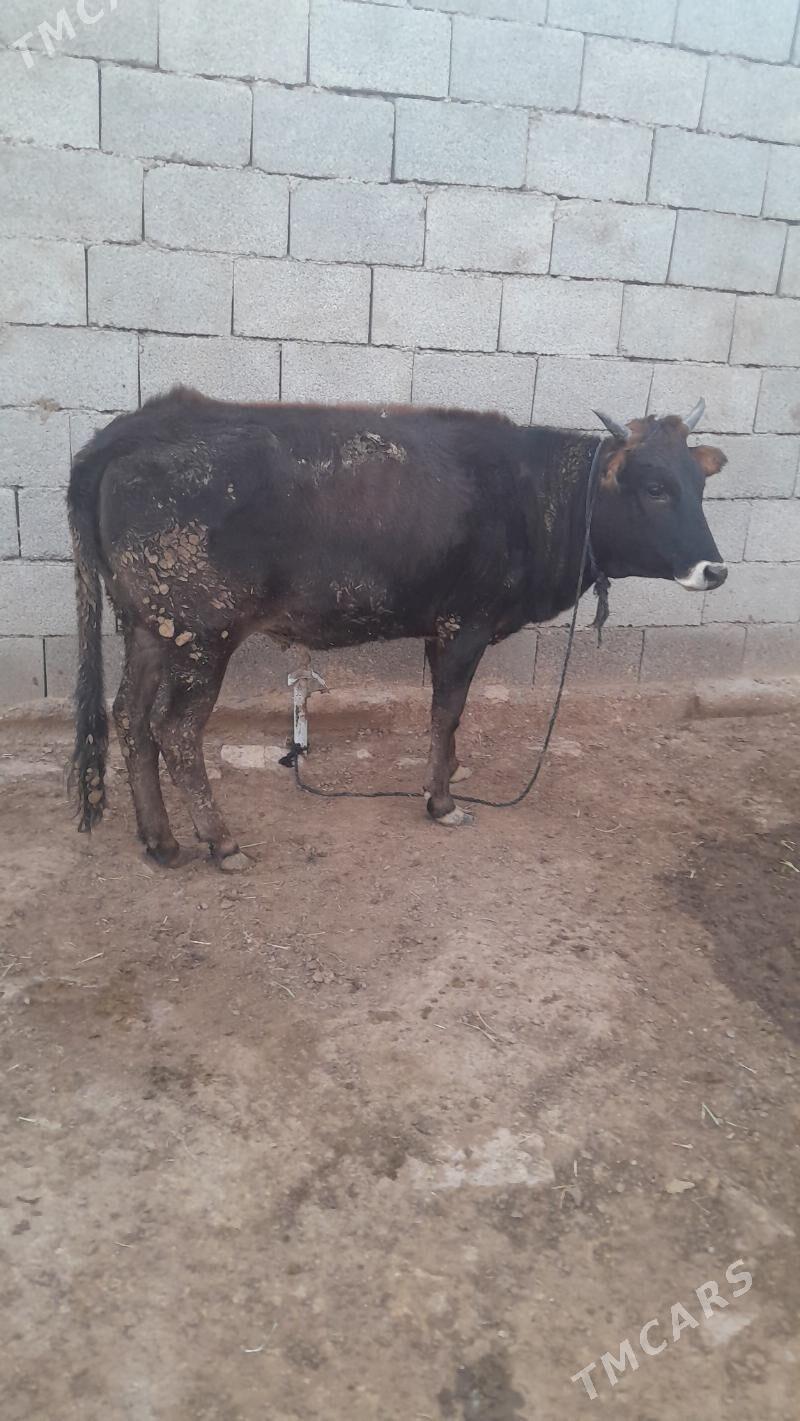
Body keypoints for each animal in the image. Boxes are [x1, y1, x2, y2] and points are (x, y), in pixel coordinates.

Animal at [67, 390, 728, 870]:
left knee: (129, 716)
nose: (715, 570)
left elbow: (446, 714)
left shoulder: (442, 629)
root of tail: (134, 427)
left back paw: (160, 841)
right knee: (175, 731)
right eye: (655, 487)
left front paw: (450, 775)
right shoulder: (467, 624)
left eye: (699, 485)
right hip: (203, 633)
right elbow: (447, 711)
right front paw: (442, 803)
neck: (536, 496)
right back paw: (221, 843)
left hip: (148, 626)